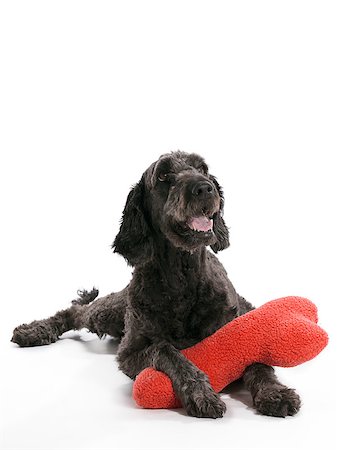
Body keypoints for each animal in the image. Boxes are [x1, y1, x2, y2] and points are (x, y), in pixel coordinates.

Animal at [11, 151, 300, 418]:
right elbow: (166, 350)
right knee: (75, 311)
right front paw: (201, 393)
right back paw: (34, 331)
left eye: (203, 168)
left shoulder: (234, 329)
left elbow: (258, 363)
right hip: (108, 314)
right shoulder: (129, 353)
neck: (183, 278)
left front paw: (274, 392)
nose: (204, 187)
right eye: (163, 175)